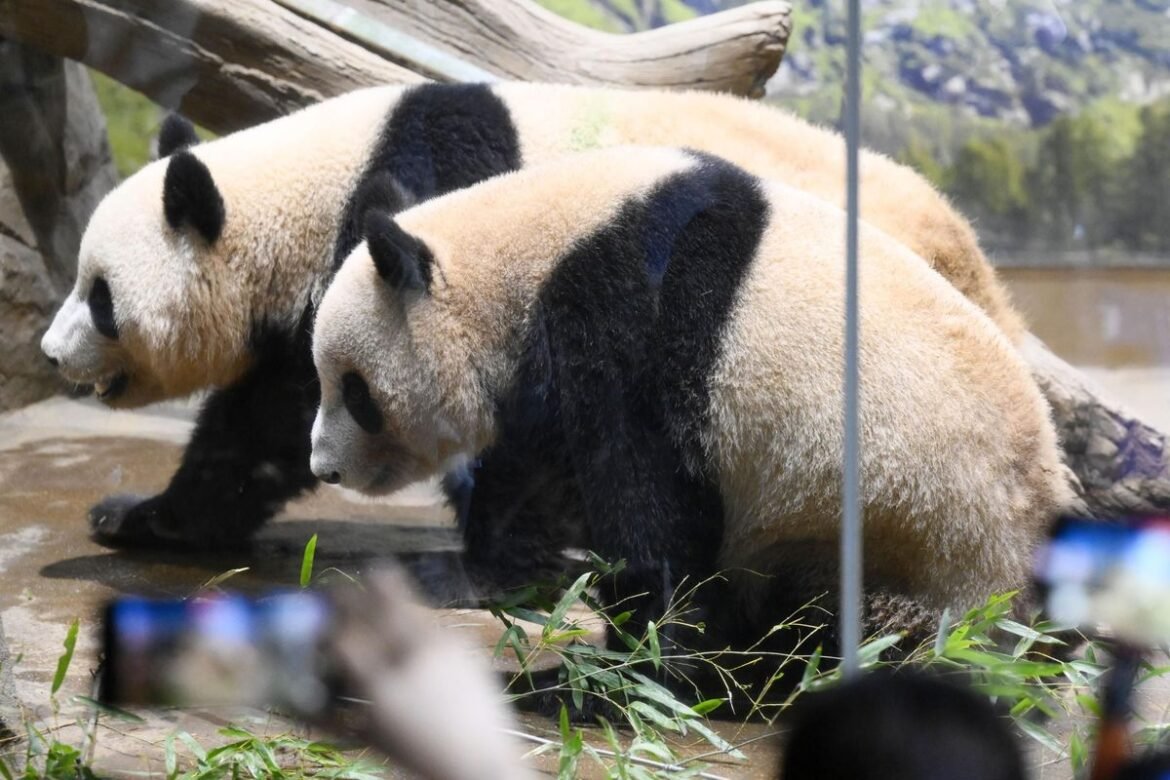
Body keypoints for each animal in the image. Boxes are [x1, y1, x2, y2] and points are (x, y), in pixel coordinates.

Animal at [40, 81, 1024, 550]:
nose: (48, 354)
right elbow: (260, 420)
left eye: (100, 294)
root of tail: (965, 243)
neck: (306, 187)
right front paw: (140, 518)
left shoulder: (415, 212)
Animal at [308, 146, 1073, 698]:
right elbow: (538, 485)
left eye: (356, 392)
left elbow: (648, 508)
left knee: (867, 627)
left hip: (919, 539)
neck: (525, 252)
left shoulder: (625, 316)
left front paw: (632, 669)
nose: (324, 467)